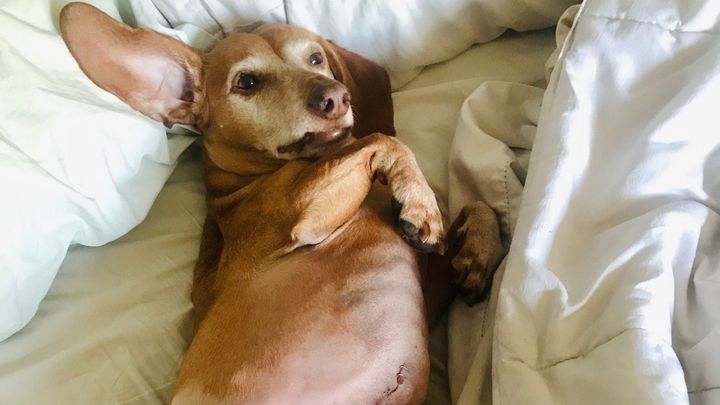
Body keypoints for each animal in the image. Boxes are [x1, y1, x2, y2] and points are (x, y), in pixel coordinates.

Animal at [60, 3, 506, 404]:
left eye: (315, 58)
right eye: (247, 82)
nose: (337, 97)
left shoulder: (428, 286)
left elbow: (478, 204)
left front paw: (476, 255)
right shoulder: (298, 213)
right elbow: (382, 140)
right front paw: (421, 203)